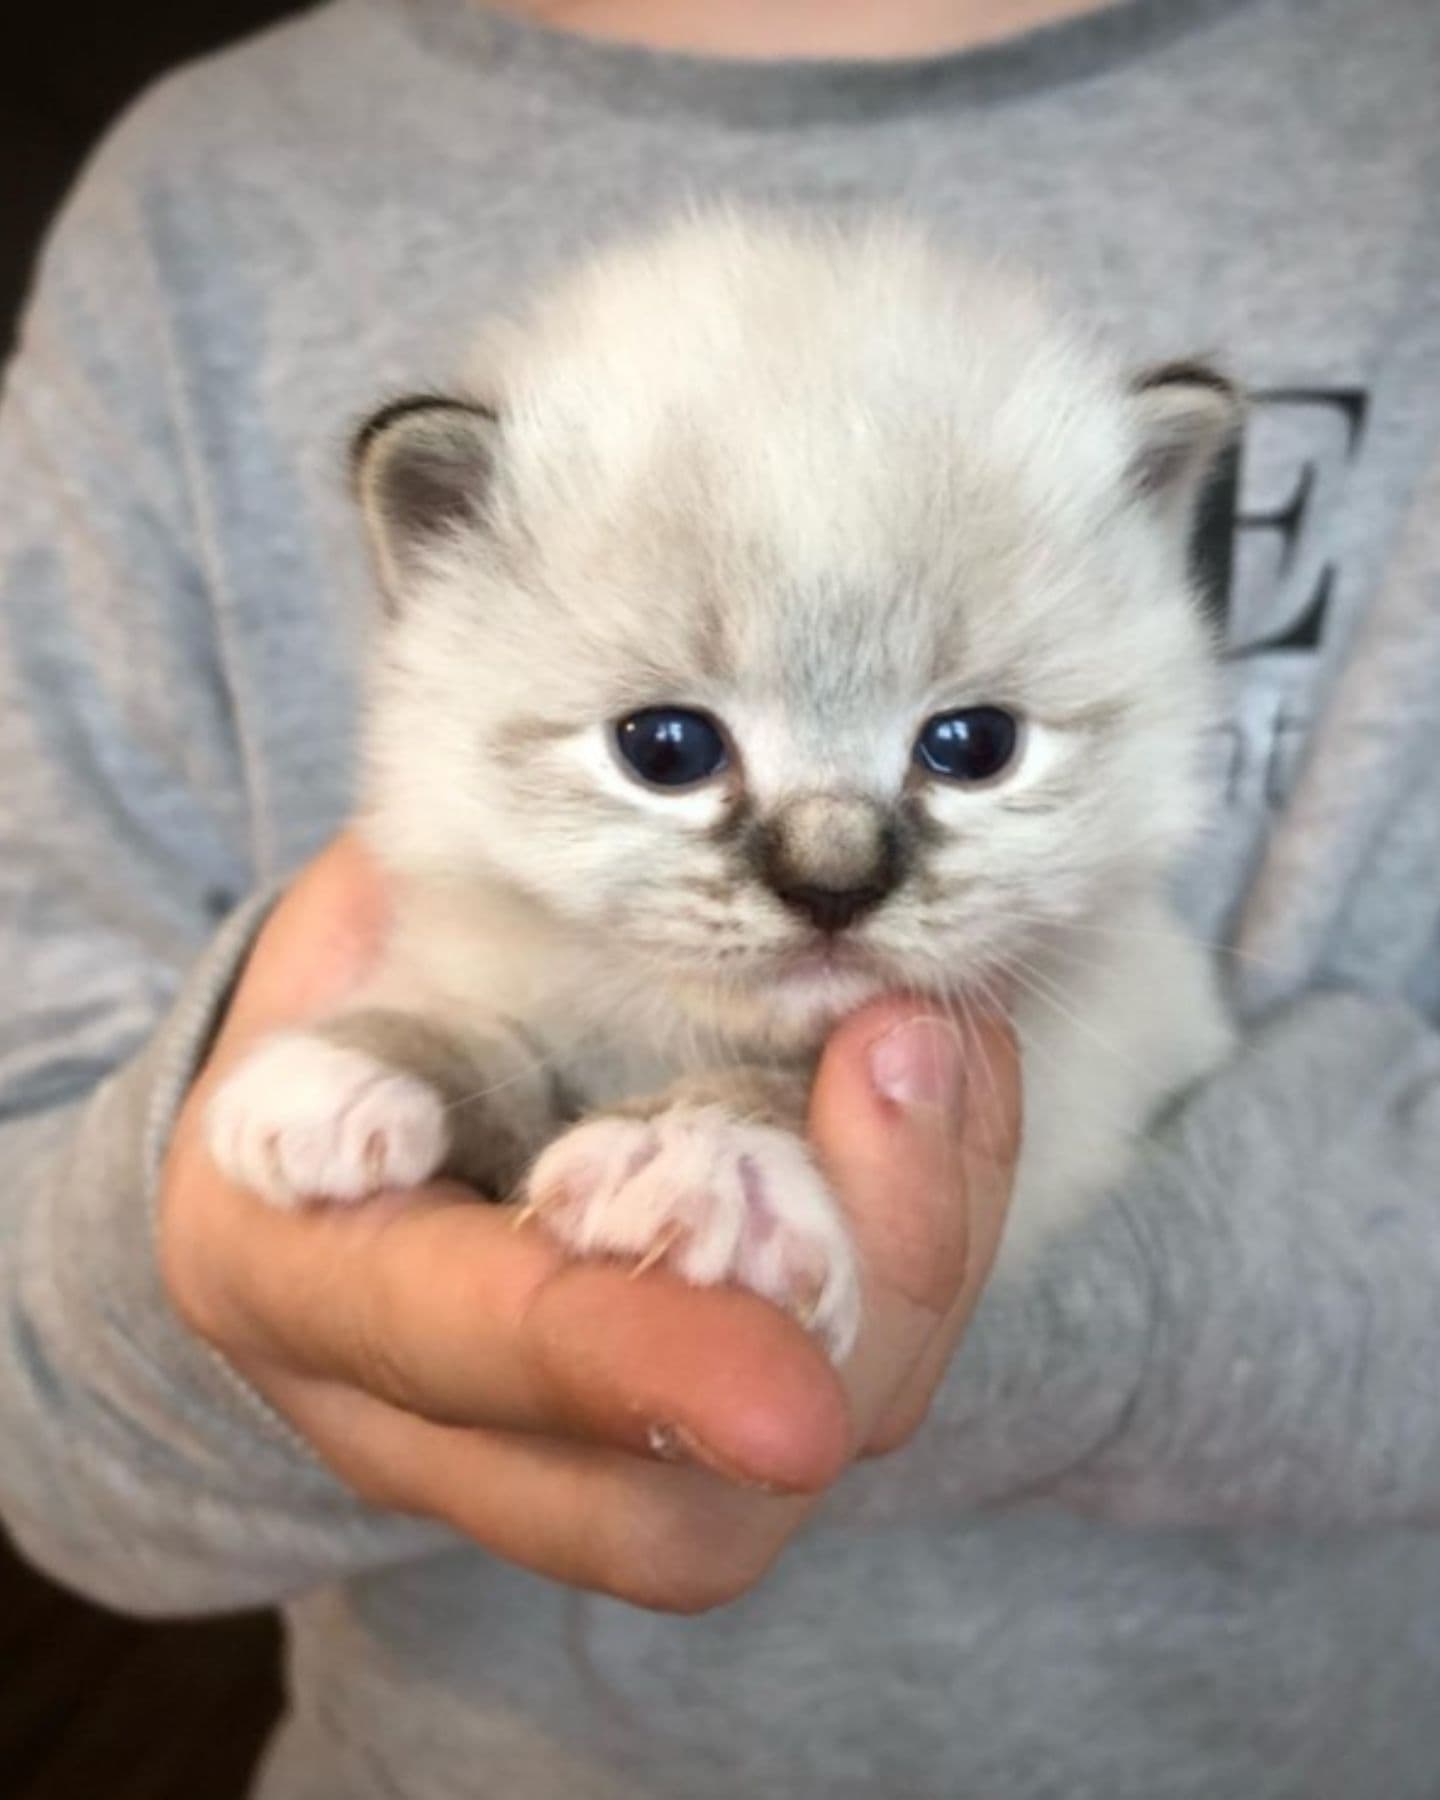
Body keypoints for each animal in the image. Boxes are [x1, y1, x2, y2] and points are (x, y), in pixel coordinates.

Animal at [207, 210, 1245, 1353]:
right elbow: (476, 1030)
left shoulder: (1065, 1102)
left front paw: (688, 1149)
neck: (673, 1032)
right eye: (666, 751)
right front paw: (349, 1070)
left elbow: (780, 1081)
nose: (834, 887)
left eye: (974, 747)